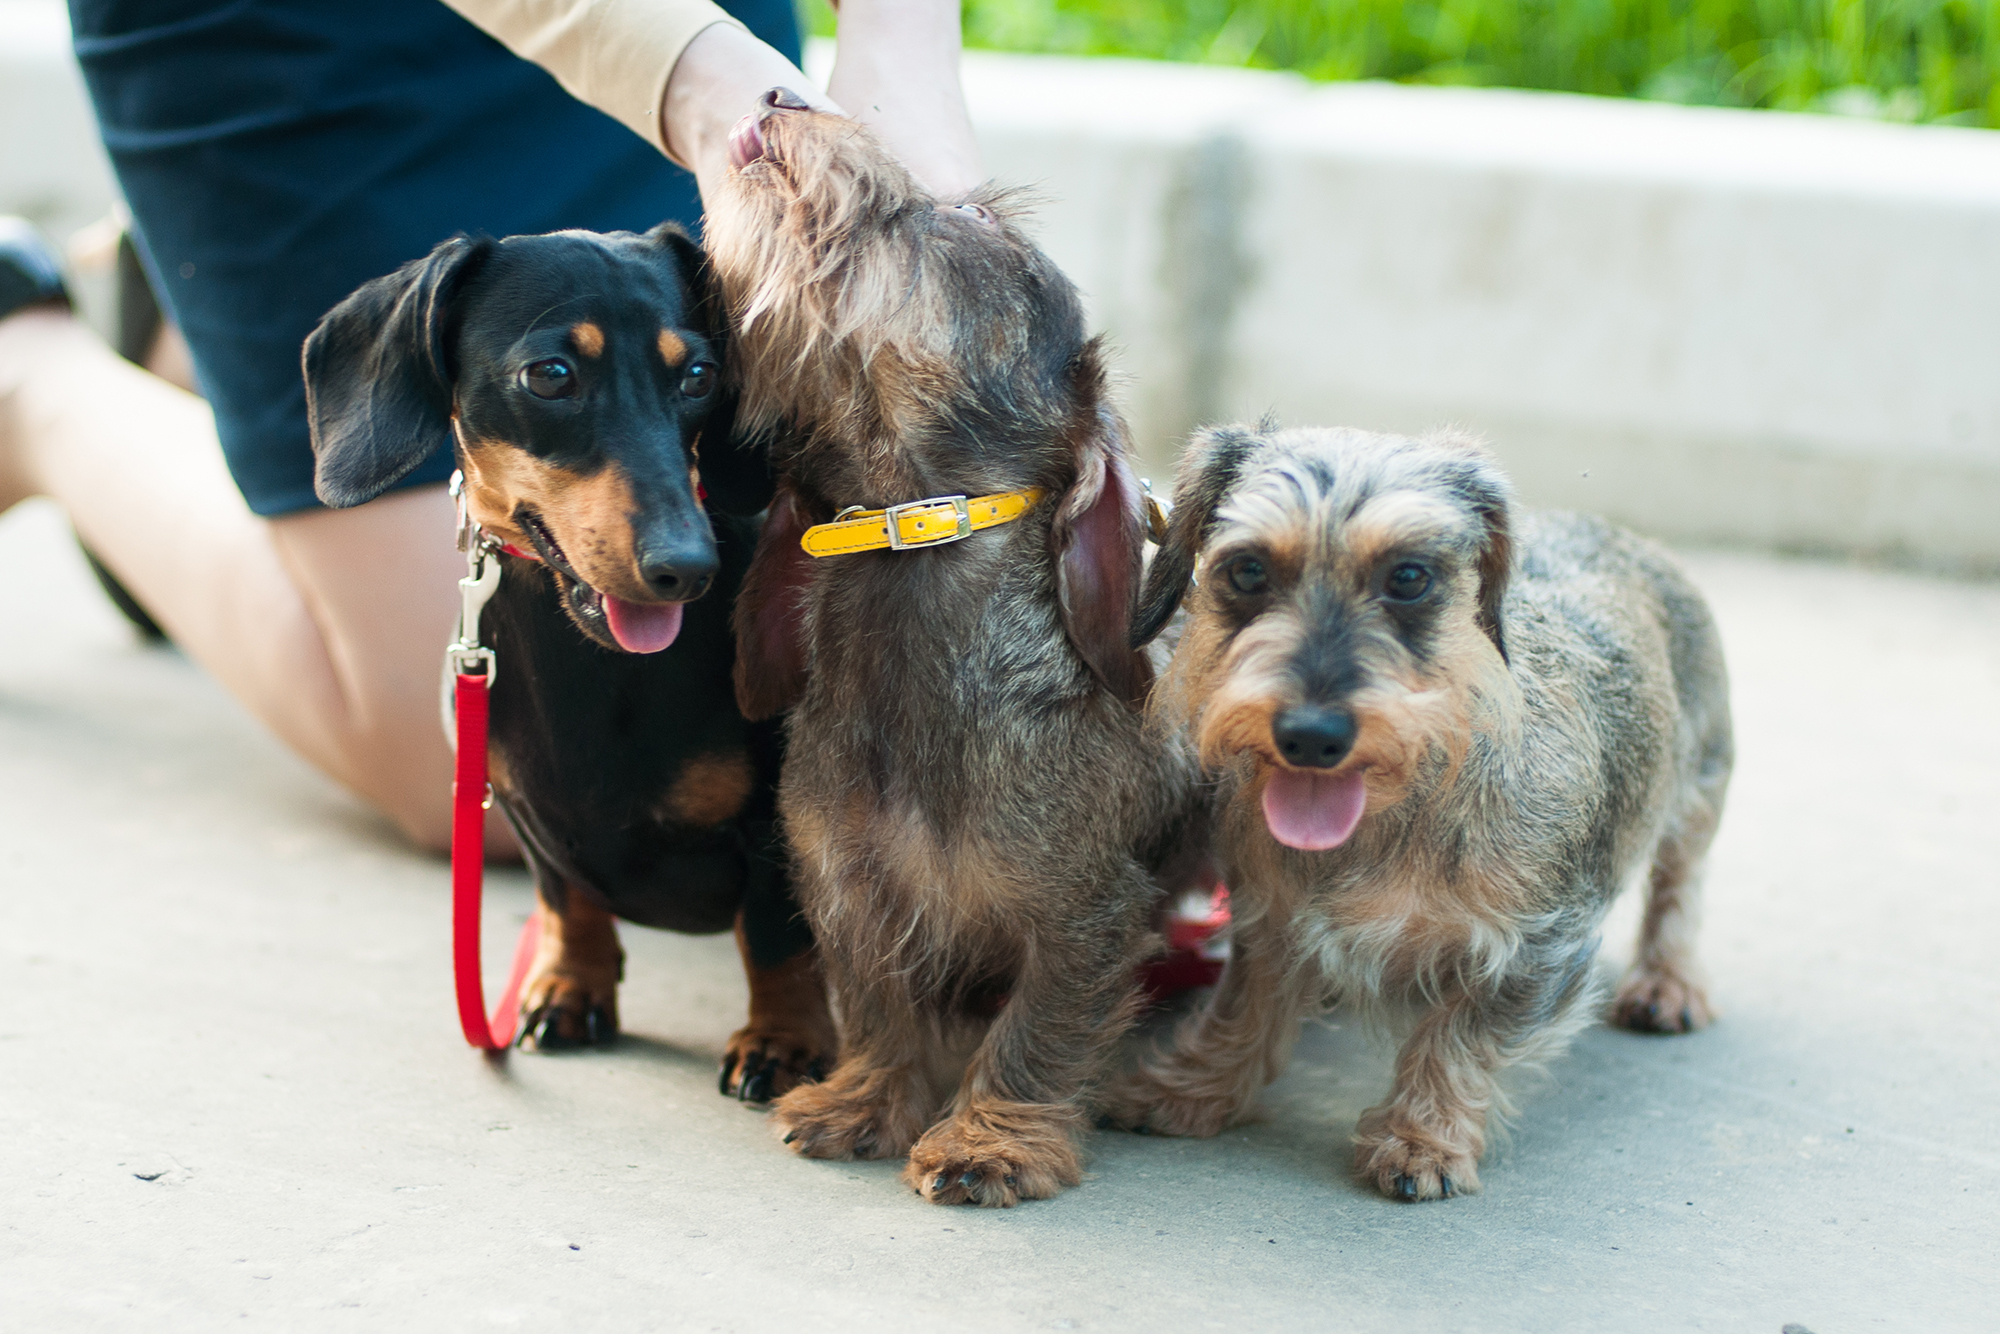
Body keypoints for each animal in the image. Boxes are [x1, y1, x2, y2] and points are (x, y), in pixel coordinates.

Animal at [704, 88, 1200, 1208]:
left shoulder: (1084, 913)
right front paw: (866, 1099)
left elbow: (1035, 1034)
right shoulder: (848, 888)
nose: (779, 94)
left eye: (973, 219)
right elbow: (877, 1003)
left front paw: (989, 1137)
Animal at [1112, 426, 1736, 1200]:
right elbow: (1245, 1011)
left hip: (1699, 789)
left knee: (1680, 887)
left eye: (1409, 577)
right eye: (1248, 570)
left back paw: (1668, 983)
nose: (1311, 735)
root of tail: (1623, 536)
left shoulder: (1540, 945)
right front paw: (1193, 1089)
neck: (1392, 812)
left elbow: (1457, 1038)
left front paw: (1420, 1140)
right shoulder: (1270, 919)